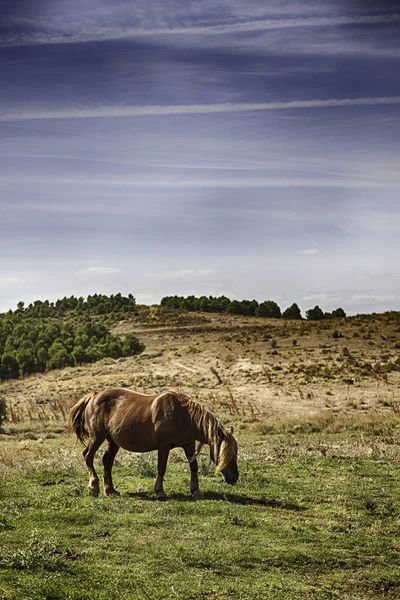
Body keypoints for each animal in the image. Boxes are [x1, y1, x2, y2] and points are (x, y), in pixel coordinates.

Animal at [69, 386, 239, 500]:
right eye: (227, 454)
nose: (234, 478)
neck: (183, 415)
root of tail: (95, 396)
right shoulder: (163, 446)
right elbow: (161, 468)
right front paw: (160, 492)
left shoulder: (189, 444)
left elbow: (194, 467)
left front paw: (195, 491)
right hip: (97, 437)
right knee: (88, 456)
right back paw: (94, 487)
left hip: (113, 442)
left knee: (107, 462)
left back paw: (110, 490)